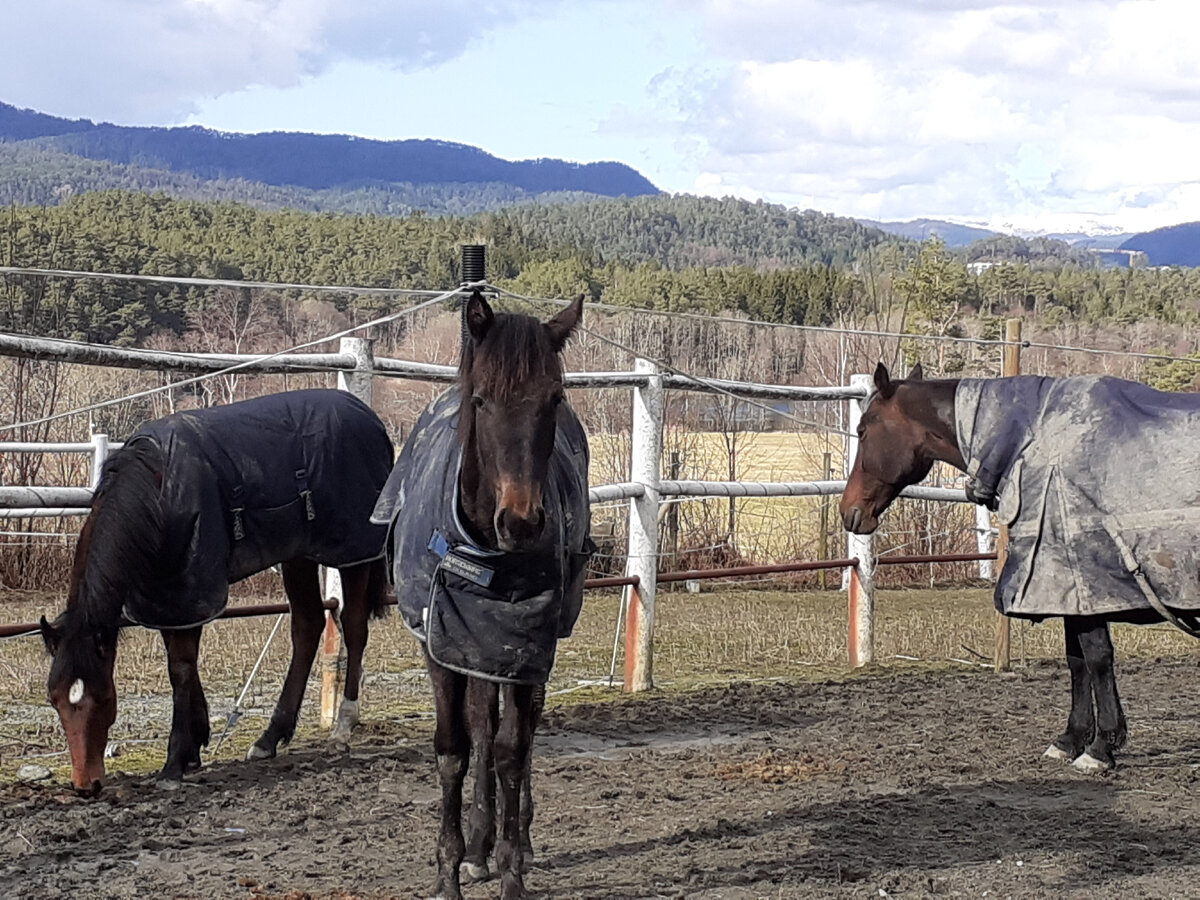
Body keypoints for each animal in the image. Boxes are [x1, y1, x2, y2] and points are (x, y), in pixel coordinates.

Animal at [37, 388, 391, 796]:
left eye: (103, 697)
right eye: (55, 699)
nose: (85, 785)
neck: (157, 488)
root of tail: (368, 416)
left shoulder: (193, 587)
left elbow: (180, 668)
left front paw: (175, 763)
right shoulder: (167, 595)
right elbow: (182, 664)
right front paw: (194, 746)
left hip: (352, 552)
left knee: (354, 626)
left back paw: (342, 729)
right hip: (298, 554)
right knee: (307, 626)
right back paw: (270, 738)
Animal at [374, 292, 595, 897]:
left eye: (554, 397)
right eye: (481, 399)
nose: (520, 521)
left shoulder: (525, 649)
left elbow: (511, 752)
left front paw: (513, 871)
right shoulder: (442, 645)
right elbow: (455, 747)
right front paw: (450, 870)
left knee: (517, 733)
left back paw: (513, 840)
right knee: (479, 725)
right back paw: (478, 846)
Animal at [840, 367, 1200, 777]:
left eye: (864, 429)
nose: (848, 511)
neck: (1029, 440)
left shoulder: (1081, 585)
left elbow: (1096, 659)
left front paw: (1100, 747)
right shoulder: (1060, 589)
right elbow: (1076, 660)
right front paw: (1070, 739)